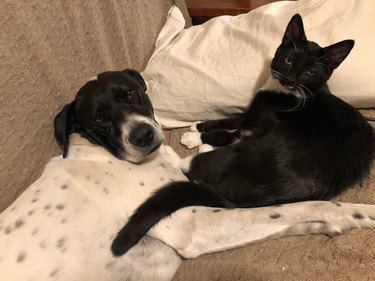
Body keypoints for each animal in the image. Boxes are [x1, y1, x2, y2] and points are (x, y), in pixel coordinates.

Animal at [0, 68, 375, 280]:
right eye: (100, 119)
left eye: (131, 93)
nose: (143, 135)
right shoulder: (195, 223)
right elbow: (303, 207)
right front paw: (357, 213)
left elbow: (288, 217)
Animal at [110, 13, 374, 256]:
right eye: (288, 59)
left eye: (310, 72)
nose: (290, 79)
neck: (292, 94)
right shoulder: (251, 111)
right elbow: (233, 117)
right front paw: (199, 125)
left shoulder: (258, 122)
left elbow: (230, 131)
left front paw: (195, 137)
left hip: (242, 155)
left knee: (196, 164)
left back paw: (178, 154)